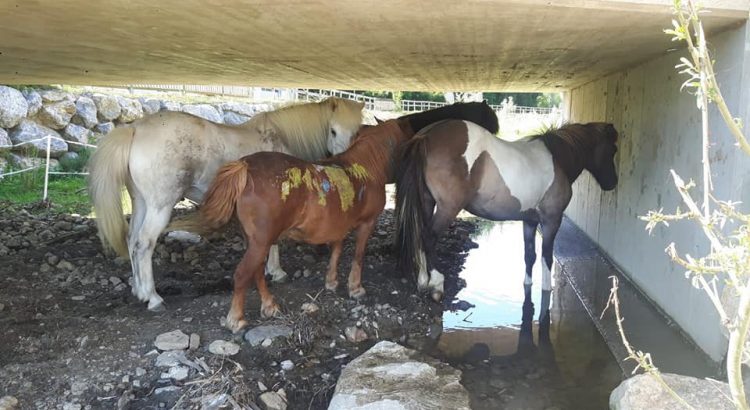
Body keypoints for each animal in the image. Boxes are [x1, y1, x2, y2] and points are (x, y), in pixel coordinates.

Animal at [89, 97, 368, 310]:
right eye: (333, 130)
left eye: (357, 132)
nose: (345, 162)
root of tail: (135, 129)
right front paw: (276, 272)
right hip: (160, 206)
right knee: (143, 243)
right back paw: (153, 297)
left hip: (141, 203)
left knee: (131, 240)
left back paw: (139, 290)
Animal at [177, 102, 502, 334]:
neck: (365, 166)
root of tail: (245, 166)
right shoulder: (366, 224)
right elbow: (357, 255)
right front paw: (355, 288)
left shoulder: (338, 227)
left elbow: (335, 251)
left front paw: (332, 283)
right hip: (260, 241)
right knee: (244, 274)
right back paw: (236, 319)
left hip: (256, 240)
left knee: (256, 272)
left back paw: (270, 306)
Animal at [396, 119, 620, 308]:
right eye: (613, 149)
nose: (612, 183)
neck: (557, 159)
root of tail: (426, 135)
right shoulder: (551, 221)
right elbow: (546, 257)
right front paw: (547, 289)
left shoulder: (530, 221)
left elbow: (529, 255)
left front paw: (527, 284)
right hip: (447, 208)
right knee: (429, 237)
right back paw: (436, 284)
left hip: (427, 202)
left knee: (419, 235)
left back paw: (422, 281)